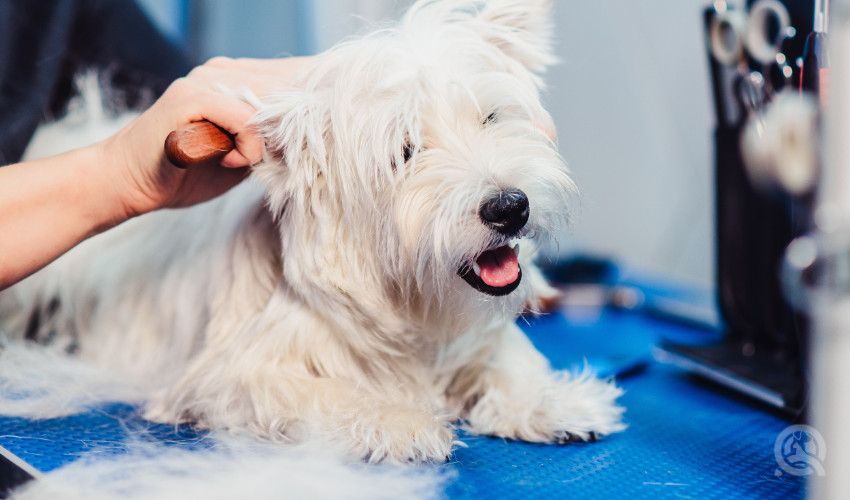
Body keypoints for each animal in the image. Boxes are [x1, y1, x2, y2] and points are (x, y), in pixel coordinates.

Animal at [0, 0, 624, 462]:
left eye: (490, 117)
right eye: (405, 152)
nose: (510, 207)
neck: (411, 307)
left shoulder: (474, 334)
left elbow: (507, 355)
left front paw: (549, 400)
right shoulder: (230, 377)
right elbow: (327, 394)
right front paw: (400, 421)